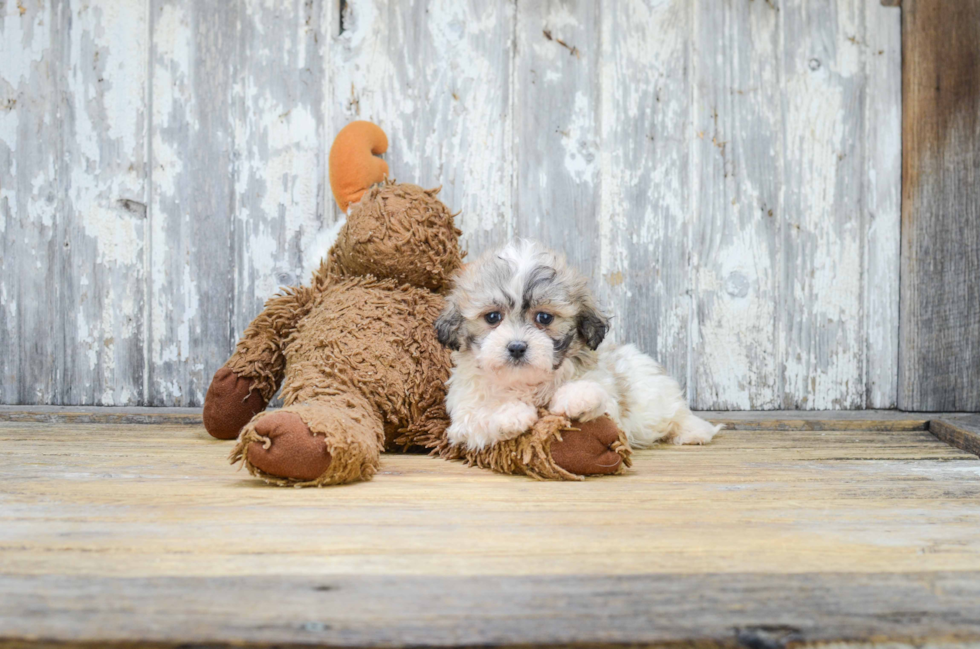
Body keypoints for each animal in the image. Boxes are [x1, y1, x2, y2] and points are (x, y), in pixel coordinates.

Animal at [436, 239, 720, 450]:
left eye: (544, 318)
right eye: (493, 317)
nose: (516, 347)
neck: (526, 384)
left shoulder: (611, 405)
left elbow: (599, 395)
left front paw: (576, 398)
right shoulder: (462, 419)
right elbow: (479, 415)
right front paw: (509, 414)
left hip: (656, 395)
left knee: (676, 413)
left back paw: (694, 430)